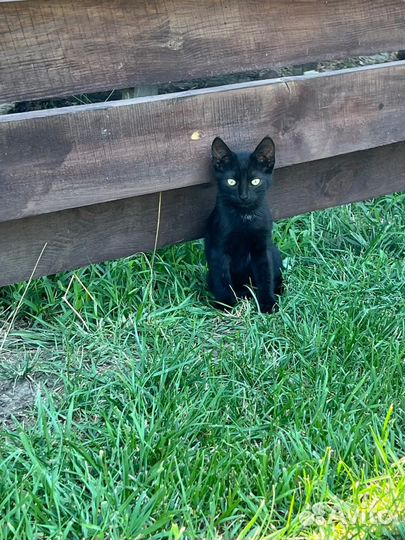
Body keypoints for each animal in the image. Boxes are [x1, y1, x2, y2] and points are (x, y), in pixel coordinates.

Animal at [204, 136, 282, 312]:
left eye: (255, 181)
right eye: (231, 182)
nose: (244, 196)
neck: (244, 217)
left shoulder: (262, 247)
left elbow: (266, 275)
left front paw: (267, 302)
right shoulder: (218, 248)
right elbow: (222, 278)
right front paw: (225, 303)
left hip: (273, 251)